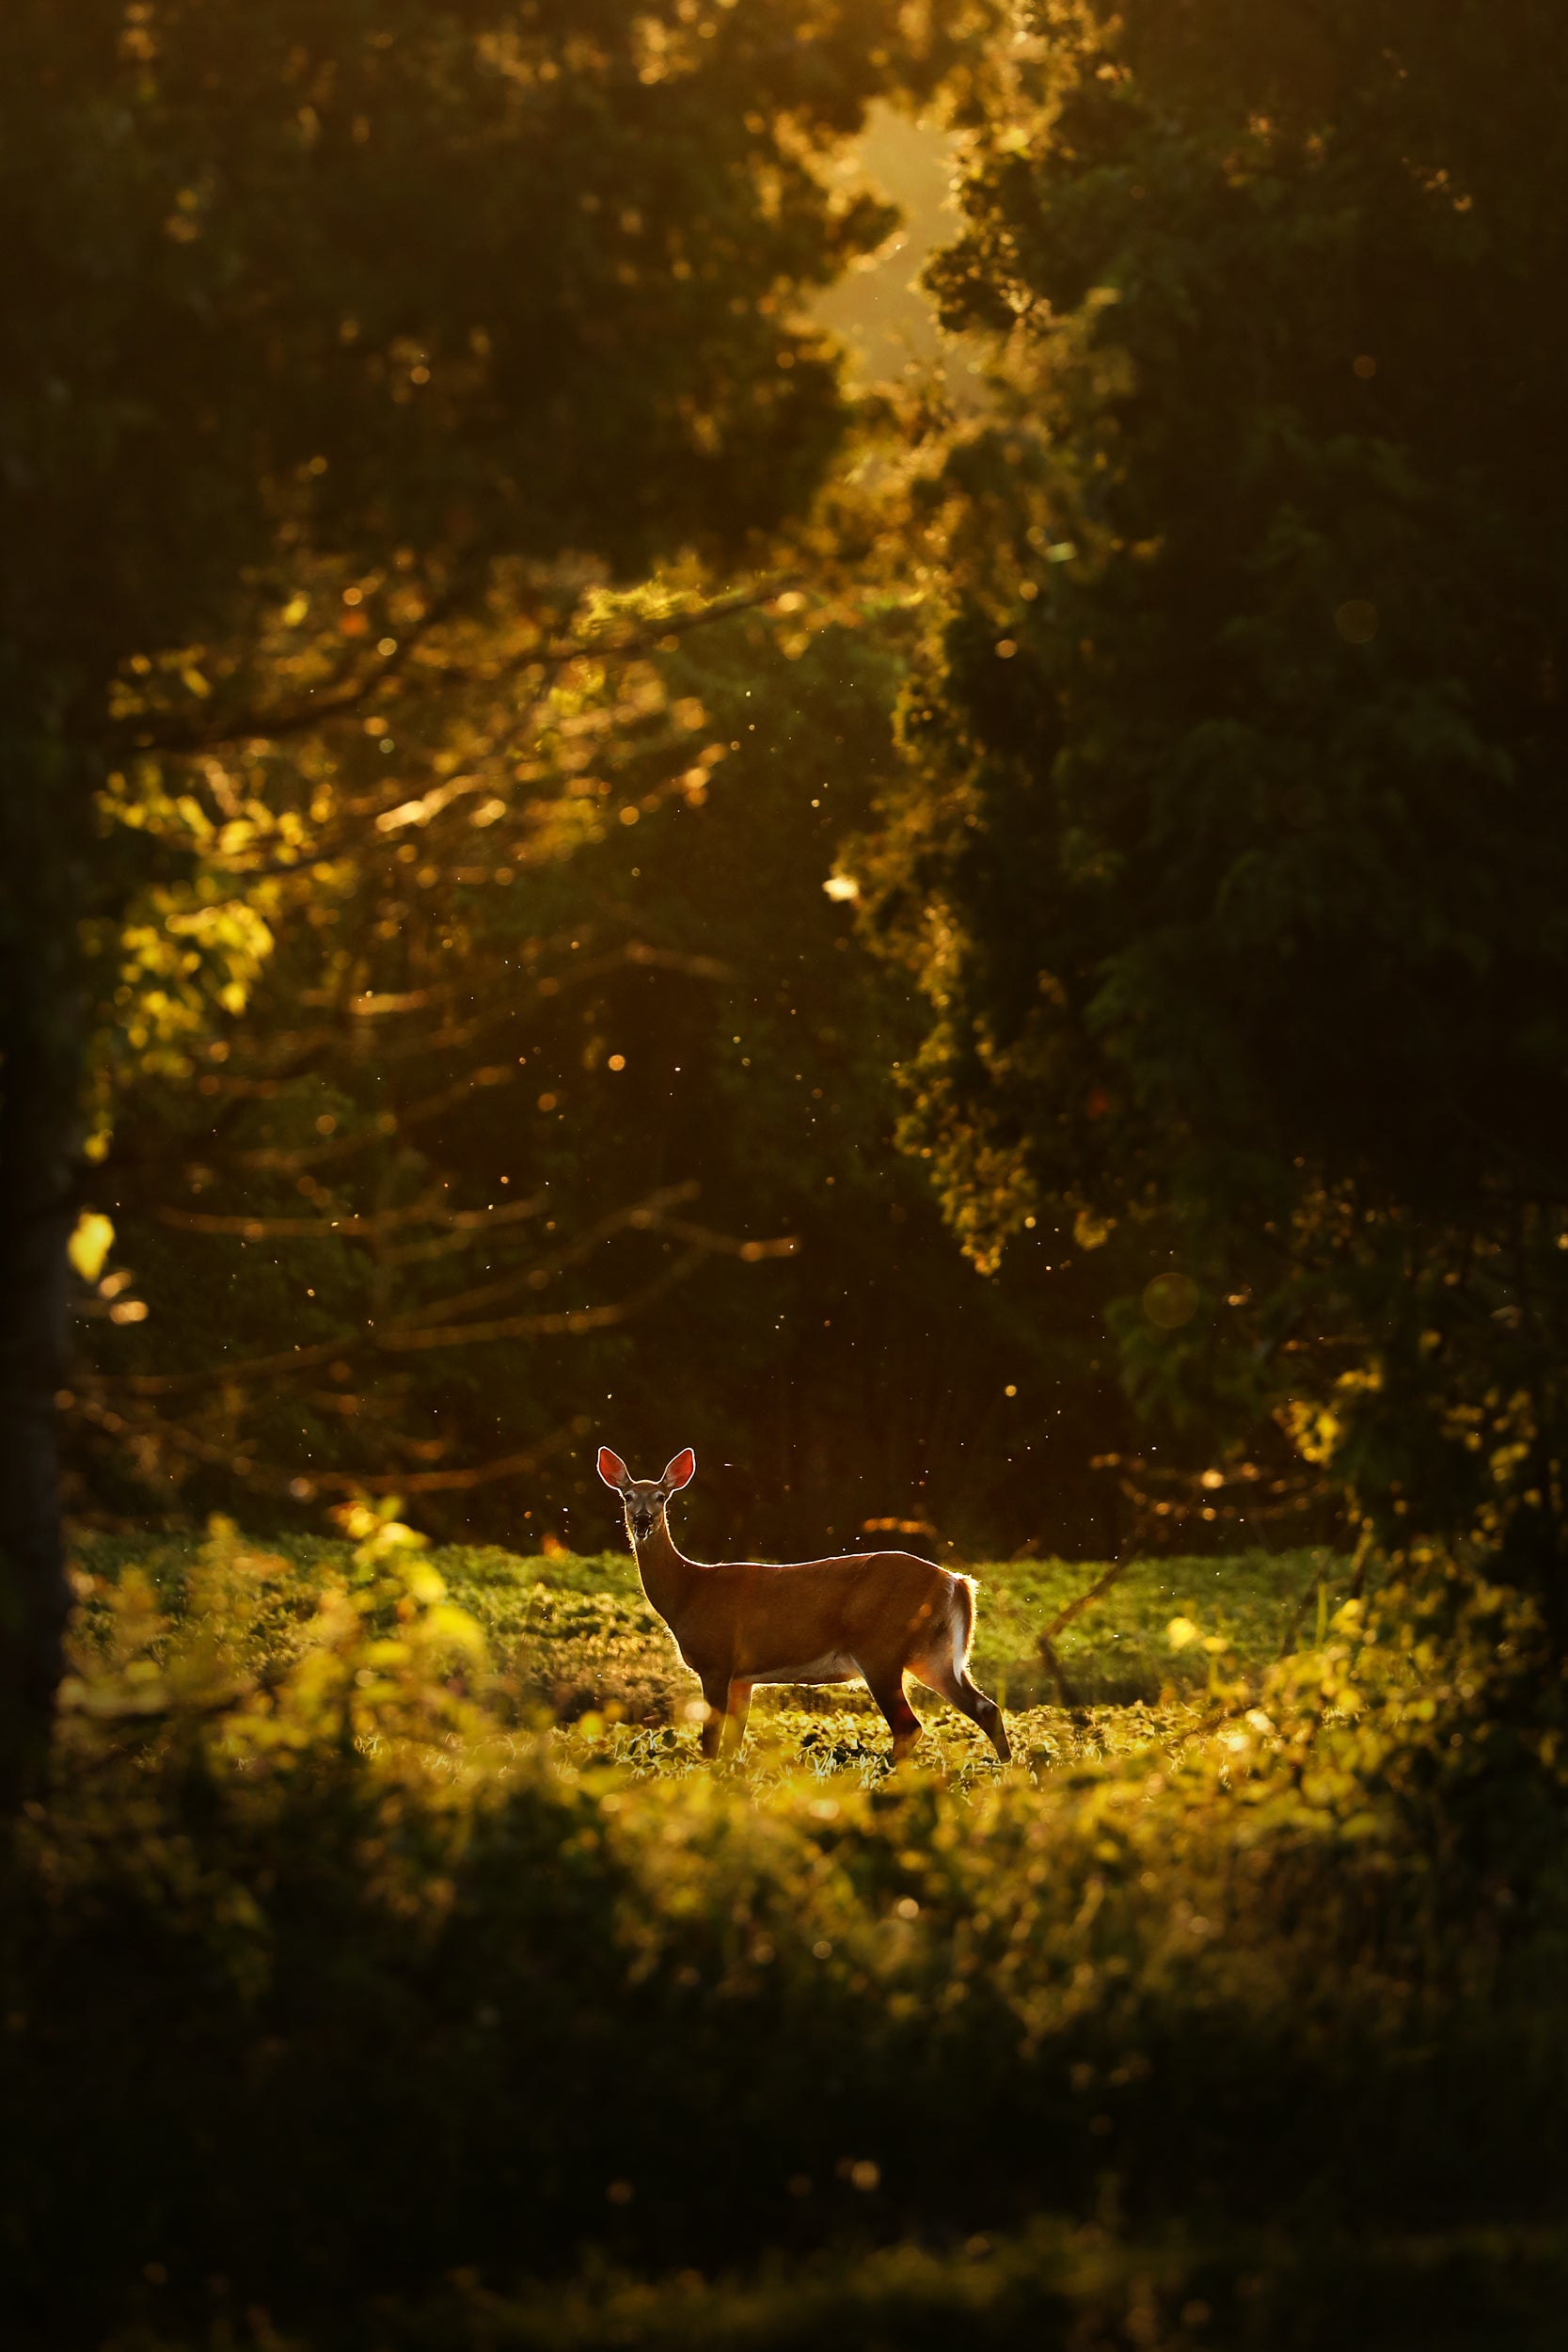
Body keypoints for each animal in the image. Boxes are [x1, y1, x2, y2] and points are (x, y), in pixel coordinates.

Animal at [596, 1446, 1011, 1765]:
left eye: (662, 1497)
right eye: (627, 1496)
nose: (643, 1520)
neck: (687, 1592)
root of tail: (956, 1582)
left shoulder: (715, 1662)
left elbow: (711, 1740)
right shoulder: (743, 1675)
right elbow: (733, 1741)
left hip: (880, 1648)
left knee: (909, 1726)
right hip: (934, 1654)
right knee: (985, 1708)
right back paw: (1006, 1773)